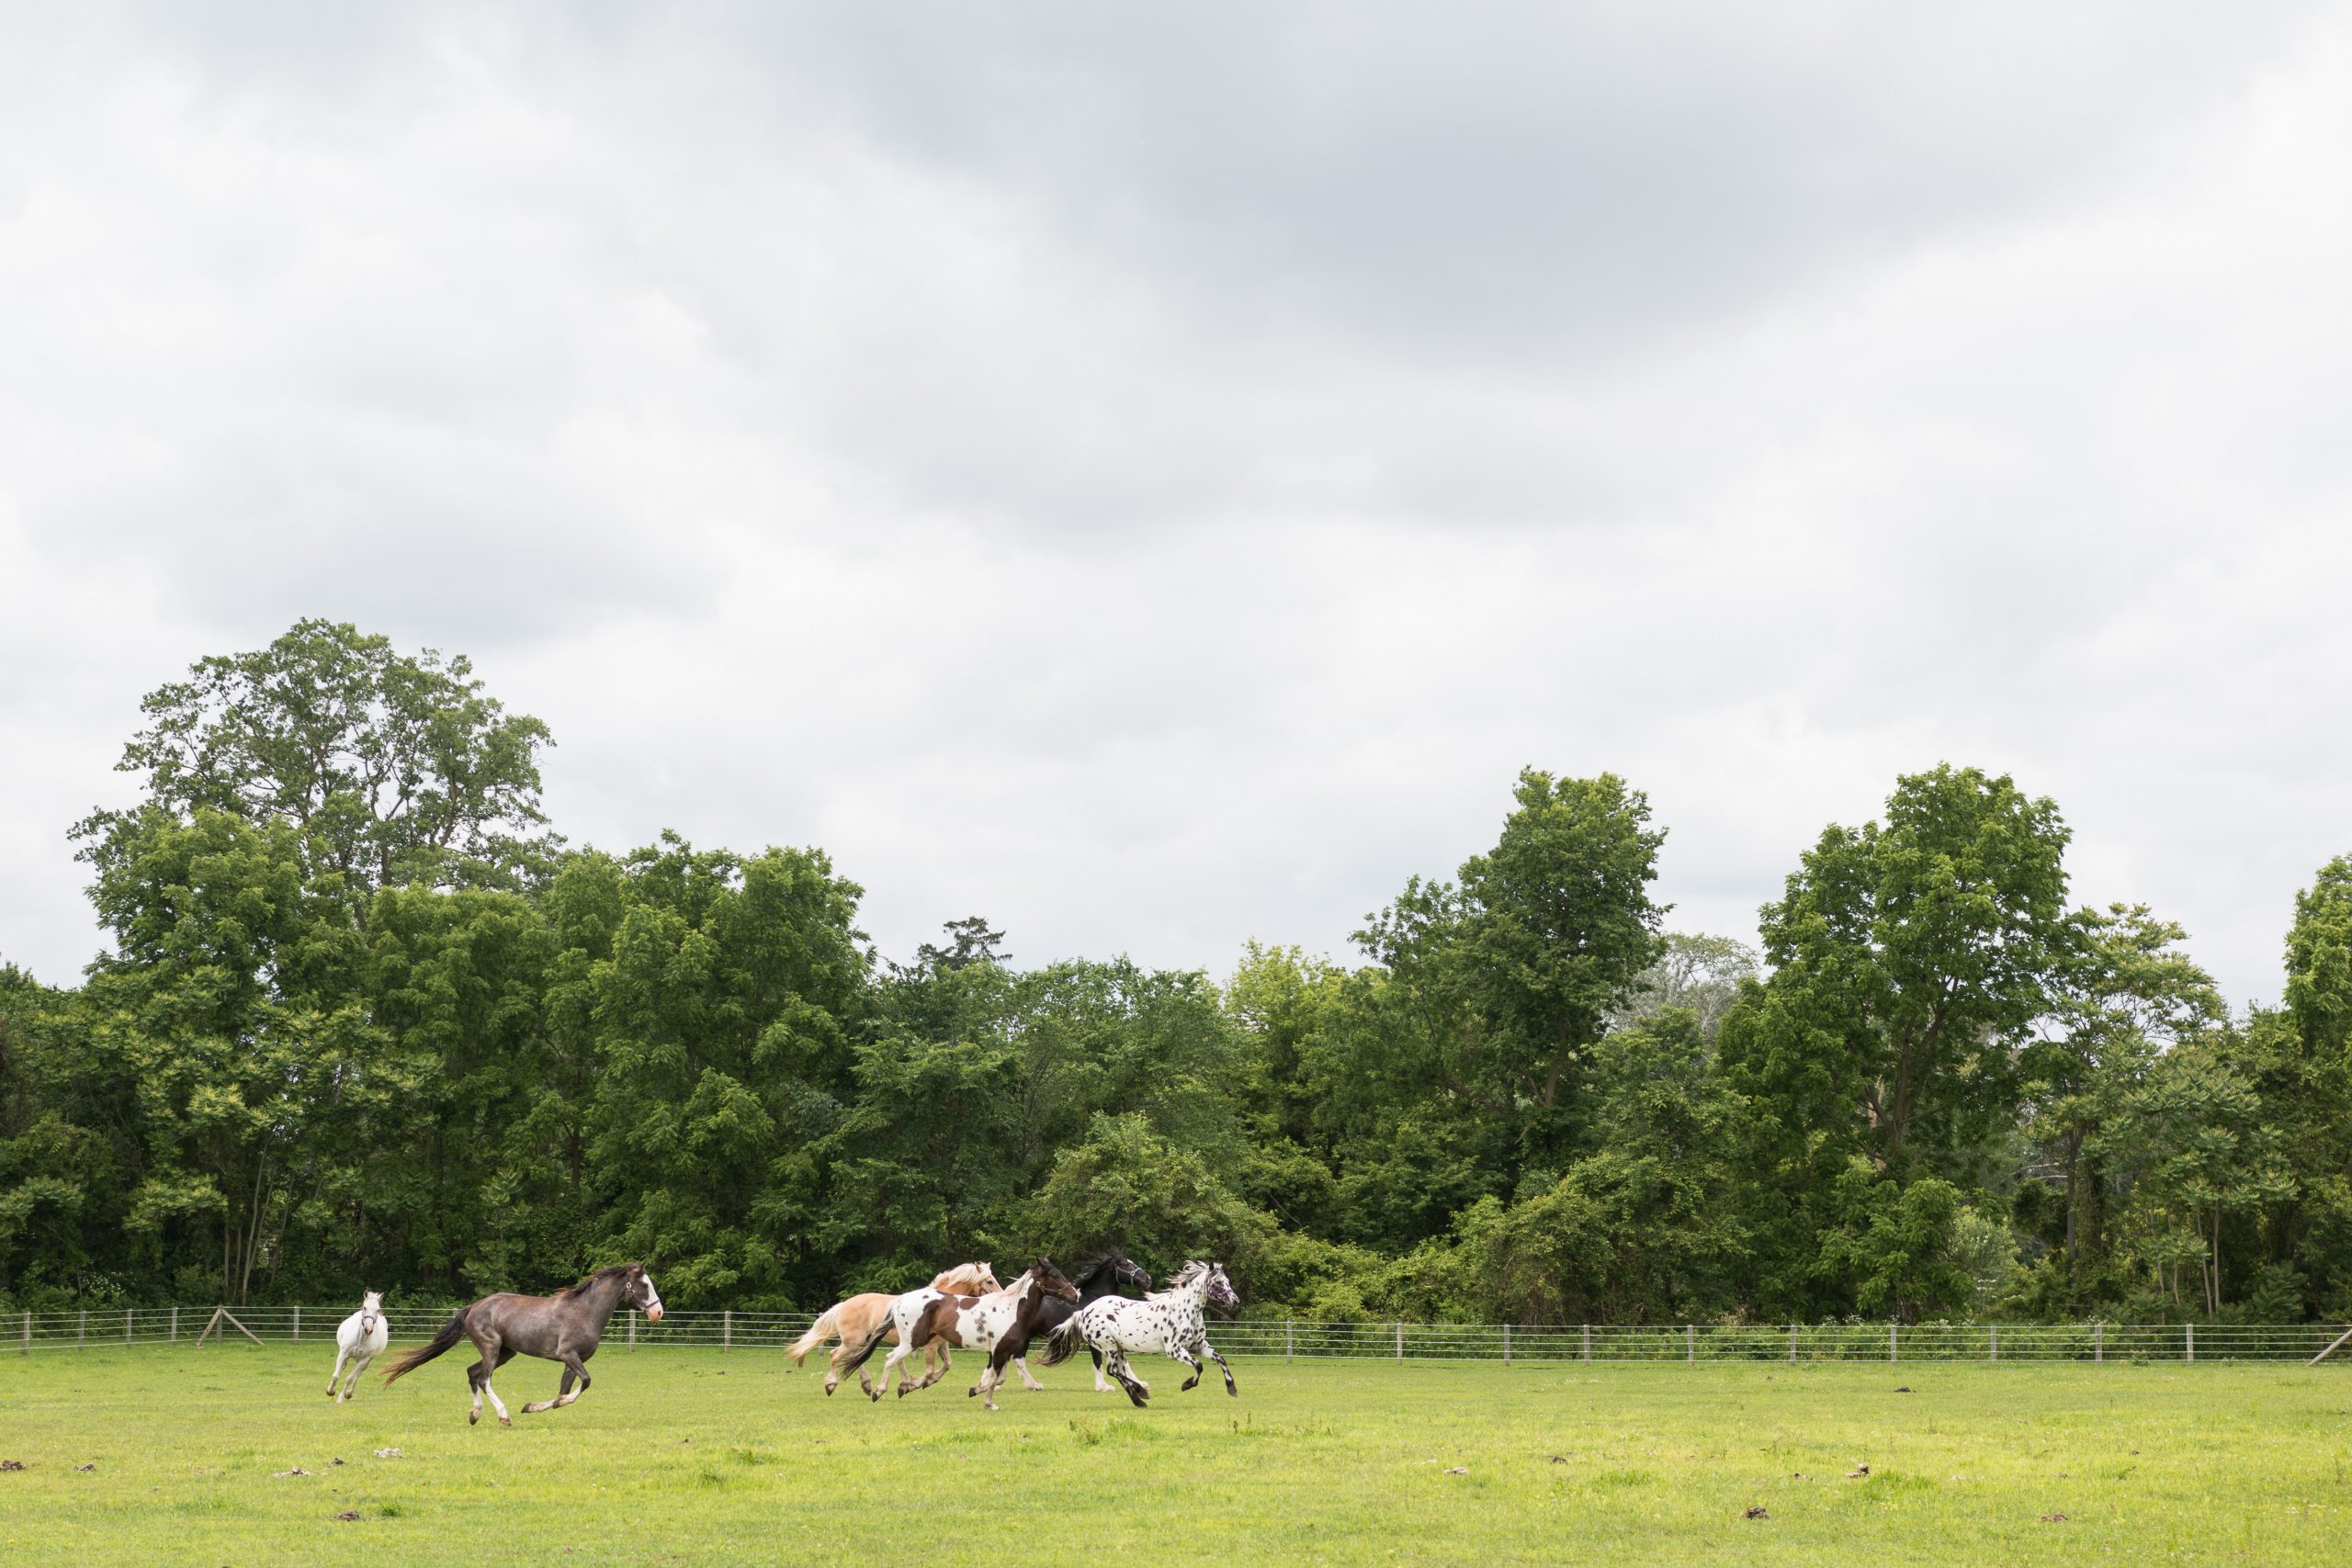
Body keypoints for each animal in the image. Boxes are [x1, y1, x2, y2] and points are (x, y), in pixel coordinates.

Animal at [380, 1262, 663, 1426]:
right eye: (644, 1284)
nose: (658, 1312)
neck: (585, 1311)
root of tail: (473, 1307)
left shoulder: (572, 1361)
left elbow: (562, 1393)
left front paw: (531, 1407)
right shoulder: (568, 1355)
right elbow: (584, 1384)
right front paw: (531, 1407)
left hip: (506, 1352)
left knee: (472, 1374)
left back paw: (475, 1415)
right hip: (492, 1348)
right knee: (483, 1379)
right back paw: (504, 1416)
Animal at [787, 1262, 1000, 1396]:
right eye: (989, 1281)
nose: (1000, 1295)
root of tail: (844, 1304)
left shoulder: (941, 1345)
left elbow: (946, 1365)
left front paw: (909, 1384)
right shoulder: (930, 1346)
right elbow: (930, 1371)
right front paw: (912, 1385)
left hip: (861, 1341)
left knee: (852, 1359)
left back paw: (867, 1385)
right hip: (852, 1342)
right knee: (835, 1355)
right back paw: (832, 1384)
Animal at [839, 1259, 1080, 1410]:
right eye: (1055, 1275)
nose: (1075, 1295)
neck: (1011, 1310)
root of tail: (899, 1301)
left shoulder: (1001, 1352)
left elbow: (994, 1378)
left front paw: (980, 1394)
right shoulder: (999, 1352)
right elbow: (993, 1379)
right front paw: (985, 1400)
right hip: (911, 1342)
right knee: (888, 1358)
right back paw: (877, 1391)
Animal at [998, 1250, 1150, 1393]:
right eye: (1125, 1264)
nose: (1147, 1279)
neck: (1093, 1299)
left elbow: (1124, 1362)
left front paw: (1140, 1384)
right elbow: (1098, 1361)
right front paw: (1103, 1387)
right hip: (1025, 1337)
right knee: (1018, 1359)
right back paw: (1032, 1385)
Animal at [1035, 1259, 1239, 1408]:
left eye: (1227, 1282)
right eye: (1218, 1283)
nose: (1235, 1302)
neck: (1185, 1310)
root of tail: (1083, 1312)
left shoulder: (1199, 1345)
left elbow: (1220, 1359)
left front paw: (1232, 1388)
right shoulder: (1175, 1350)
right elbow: (1199, 1366)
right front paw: (1187, 1385)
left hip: (1118, 1347)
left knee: (1118, 1371)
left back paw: (1139, 1397)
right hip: (1108, 1346)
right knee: (1113, 1371)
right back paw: (1140, 1394)